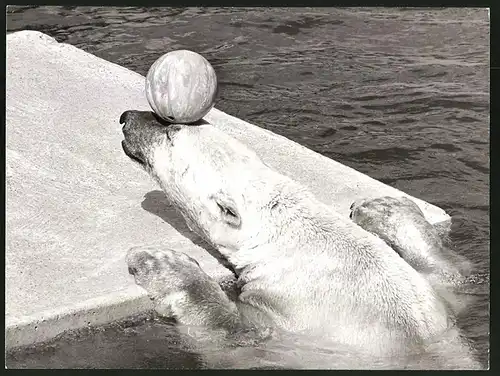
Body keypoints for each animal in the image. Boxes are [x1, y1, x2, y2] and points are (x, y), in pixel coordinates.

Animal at [119, 110, 478, 368]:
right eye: (181, 122)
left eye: (171, 132)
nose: (127, 117)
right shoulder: (439, 312)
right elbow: (452, 277)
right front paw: (383, 207)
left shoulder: (297, 328)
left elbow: (236, 341)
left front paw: (162, 263)